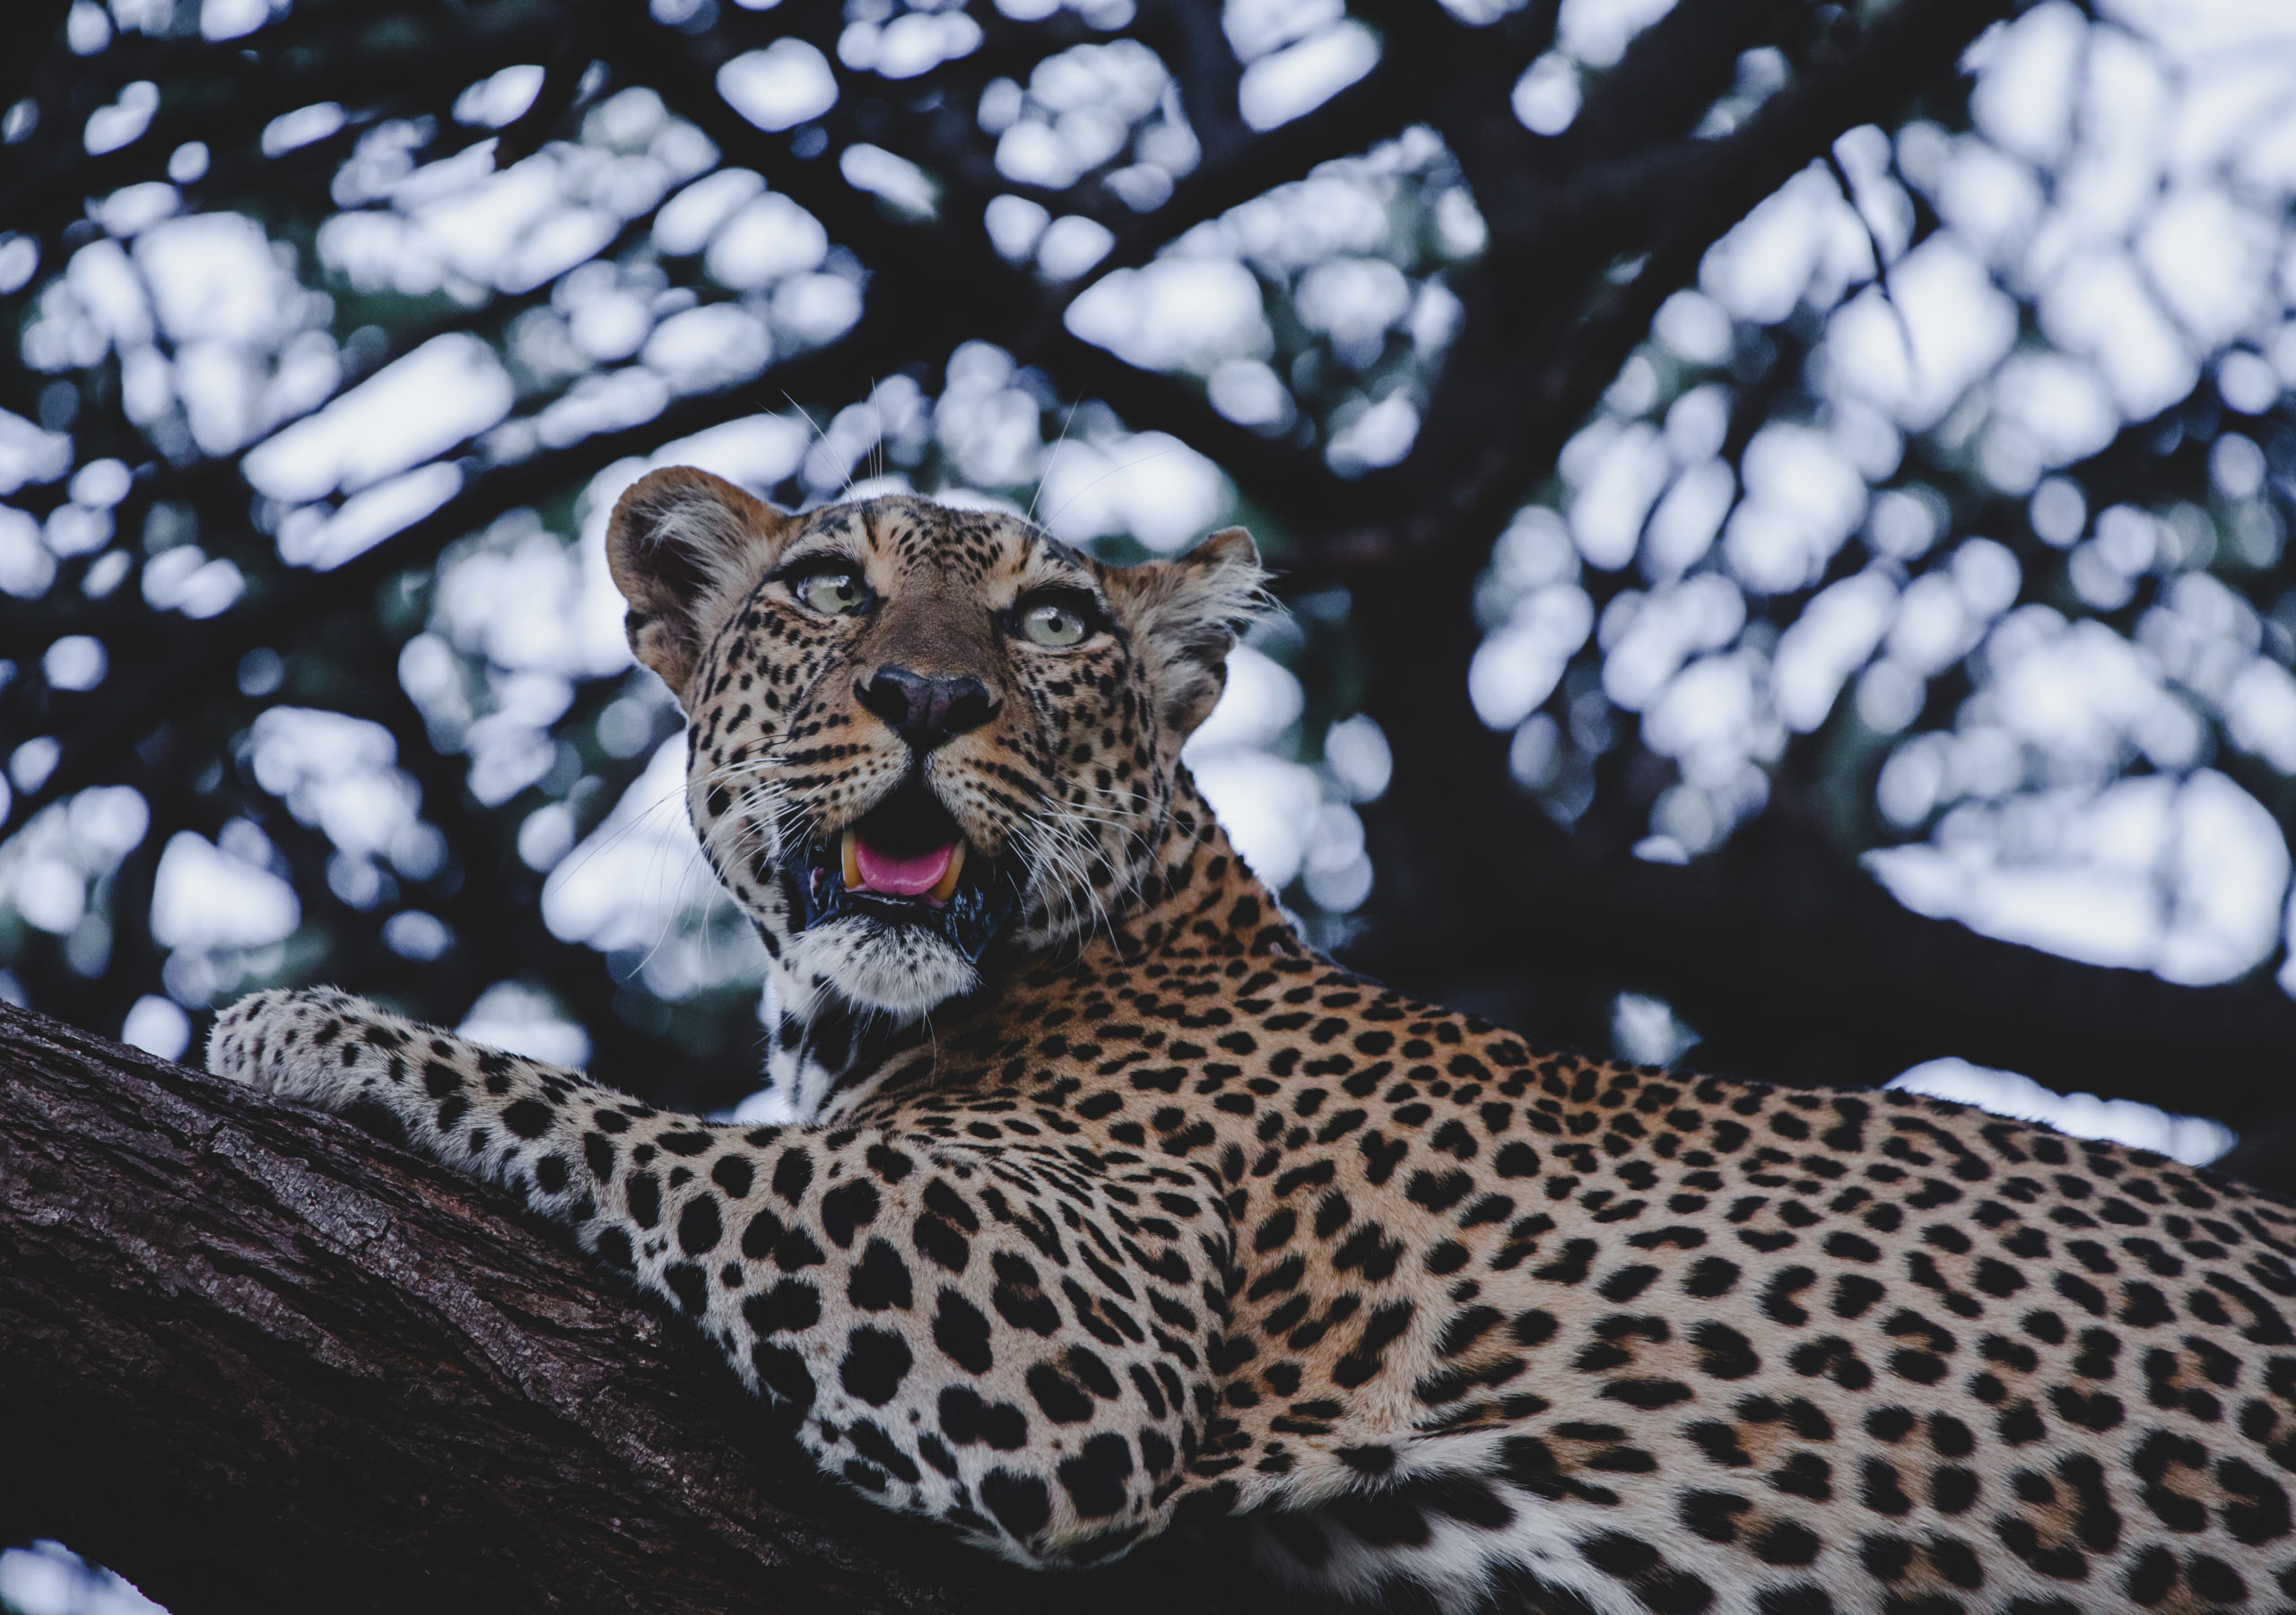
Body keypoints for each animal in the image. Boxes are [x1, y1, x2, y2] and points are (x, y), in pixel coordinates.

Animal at [211, 463, 2296, 1615]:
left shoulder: (1068, 1313)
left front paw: (305, 1024)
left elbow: (631, 1120)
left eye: (1052, 619)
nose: (926, 693)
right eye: (824, 585)